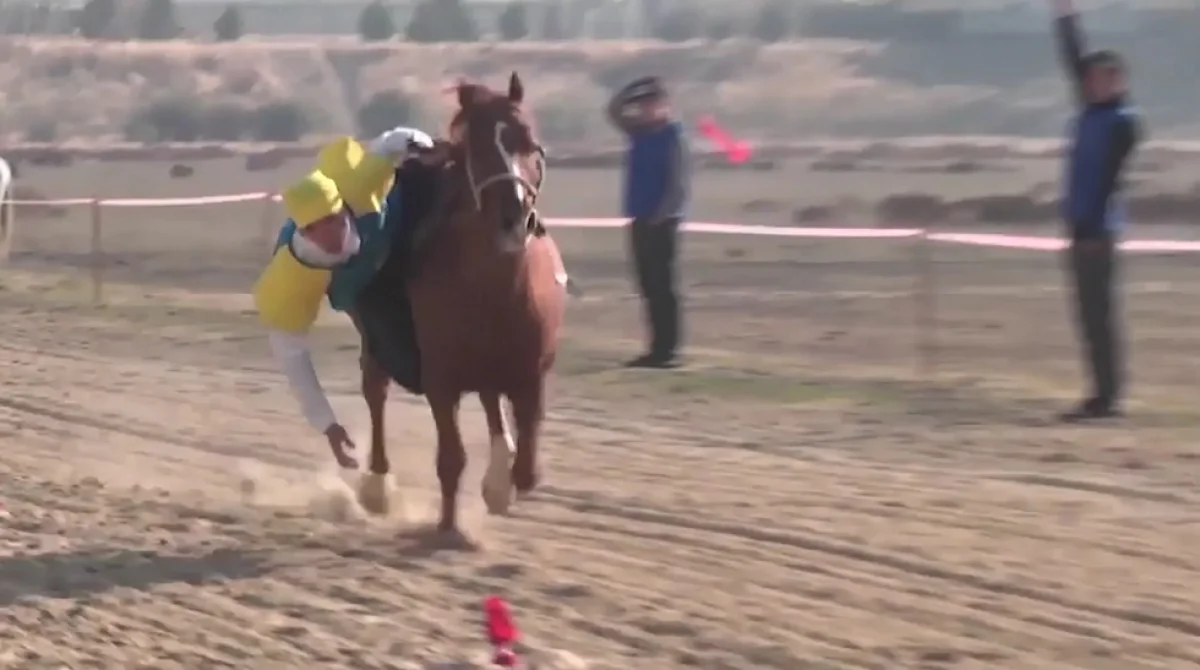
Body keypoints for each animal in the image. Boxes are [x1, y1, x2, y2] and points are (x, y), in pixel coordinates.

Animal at [355, 73, 566, 535]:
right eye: (476, 147)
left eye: (531, 143)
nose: (514, 218)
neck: (496, 290)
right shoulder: (440, 376)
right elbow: (451, 460)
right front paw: (449, 527)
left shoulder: (531, 370)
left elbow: (528, 468)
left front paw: (501, 484)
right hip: (378, 339)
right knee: (375, 389)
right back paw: (377, 485)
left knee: (489, 401)